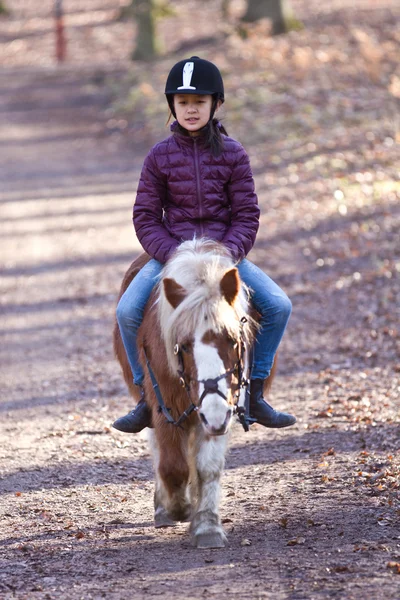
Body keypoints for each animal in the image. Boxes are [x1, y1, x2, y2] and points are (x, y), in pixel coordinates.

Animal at [115, 239, 260, 548]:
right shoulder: (164, 406)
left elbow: (208, 467)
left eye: (232, 340)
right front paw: (178, 508)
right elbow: (172, 466)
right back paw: (164, 509)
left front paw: (206, 526)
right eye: (182, 345)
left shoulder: (222, 409)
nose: (214, 413)